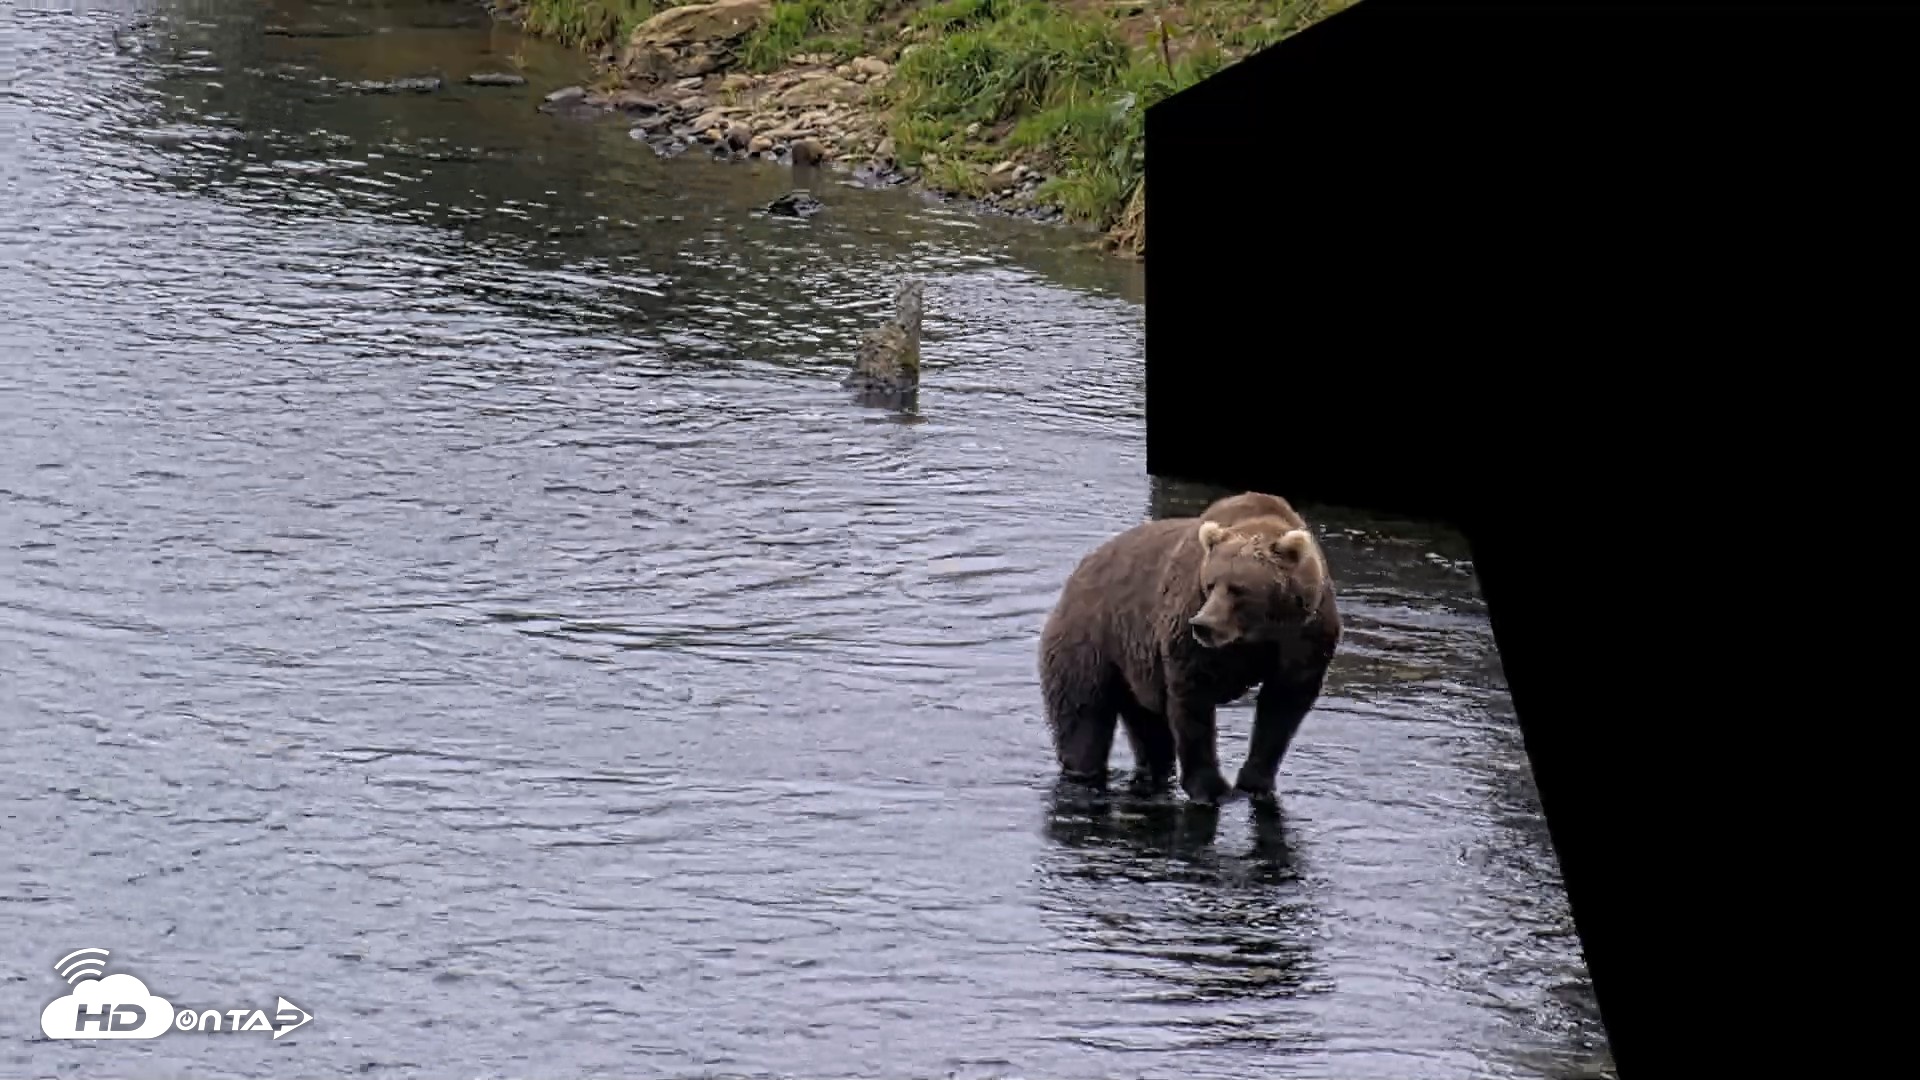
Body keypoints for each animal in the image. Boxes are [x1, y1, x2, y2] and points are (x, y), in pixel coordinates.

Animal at [1037, 491, 1340, 805]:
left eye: (1239, 588)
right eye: (1211, 583)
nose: (1203, 624)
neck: (1256, 633)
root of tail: (1080, 570)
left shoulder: (1302, 636)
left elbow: (1283, 704)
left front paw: (1255, 783)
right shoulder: (1186, 628)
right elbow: (1193, 701)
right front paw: (1210, 788)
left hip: (1136, 670)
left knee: (1149, 728)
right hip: (1092, 639)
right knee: (1084, 714)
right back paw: (1083, 770)